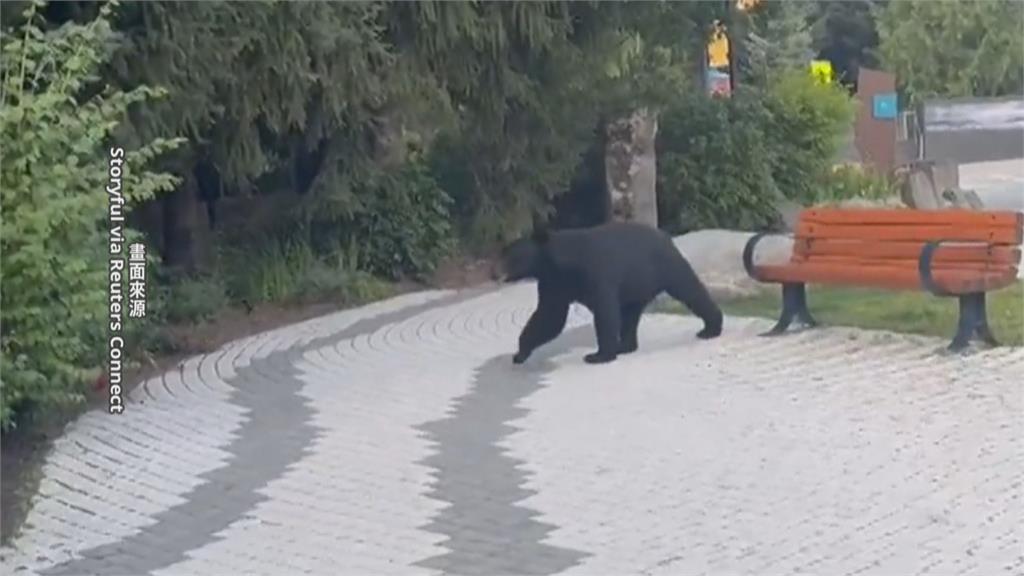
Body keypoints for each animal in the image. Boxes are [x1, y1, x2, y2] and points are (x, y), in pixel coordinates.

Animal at [493, 221, 723, 365]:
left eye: (511, 257)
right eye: (505, 255)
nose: (496, 273)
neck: (559, 263)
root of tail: (666, 236)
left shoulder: (594, 270)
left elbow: (604, 311)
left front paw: (598, 356)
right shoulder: (553, 284)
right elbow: (549, 315)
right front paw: (520, 353)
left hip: (664, 266)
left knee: (690, 290)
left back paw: (711, 328)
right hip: (637, 285)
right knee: (630, 315)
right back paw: (626, 346)